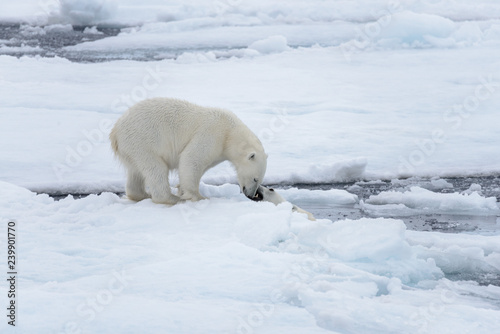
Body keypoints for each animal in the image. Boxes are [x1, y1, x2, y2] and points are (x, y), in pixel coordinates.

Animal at [108, 97, 266, 204]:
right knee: (156, 168)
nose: (251, 195)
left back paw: (142, 195)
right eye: (255, 178)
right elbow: (191, 159)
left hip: (132, 148)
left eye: (260, 180)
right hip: (143, 141)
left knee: (135, 171)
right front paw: (198, 196)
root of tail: (116, 131)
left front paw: (181, 189)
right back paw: (171, 198)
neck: (230, 133)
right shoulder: (212, 134)